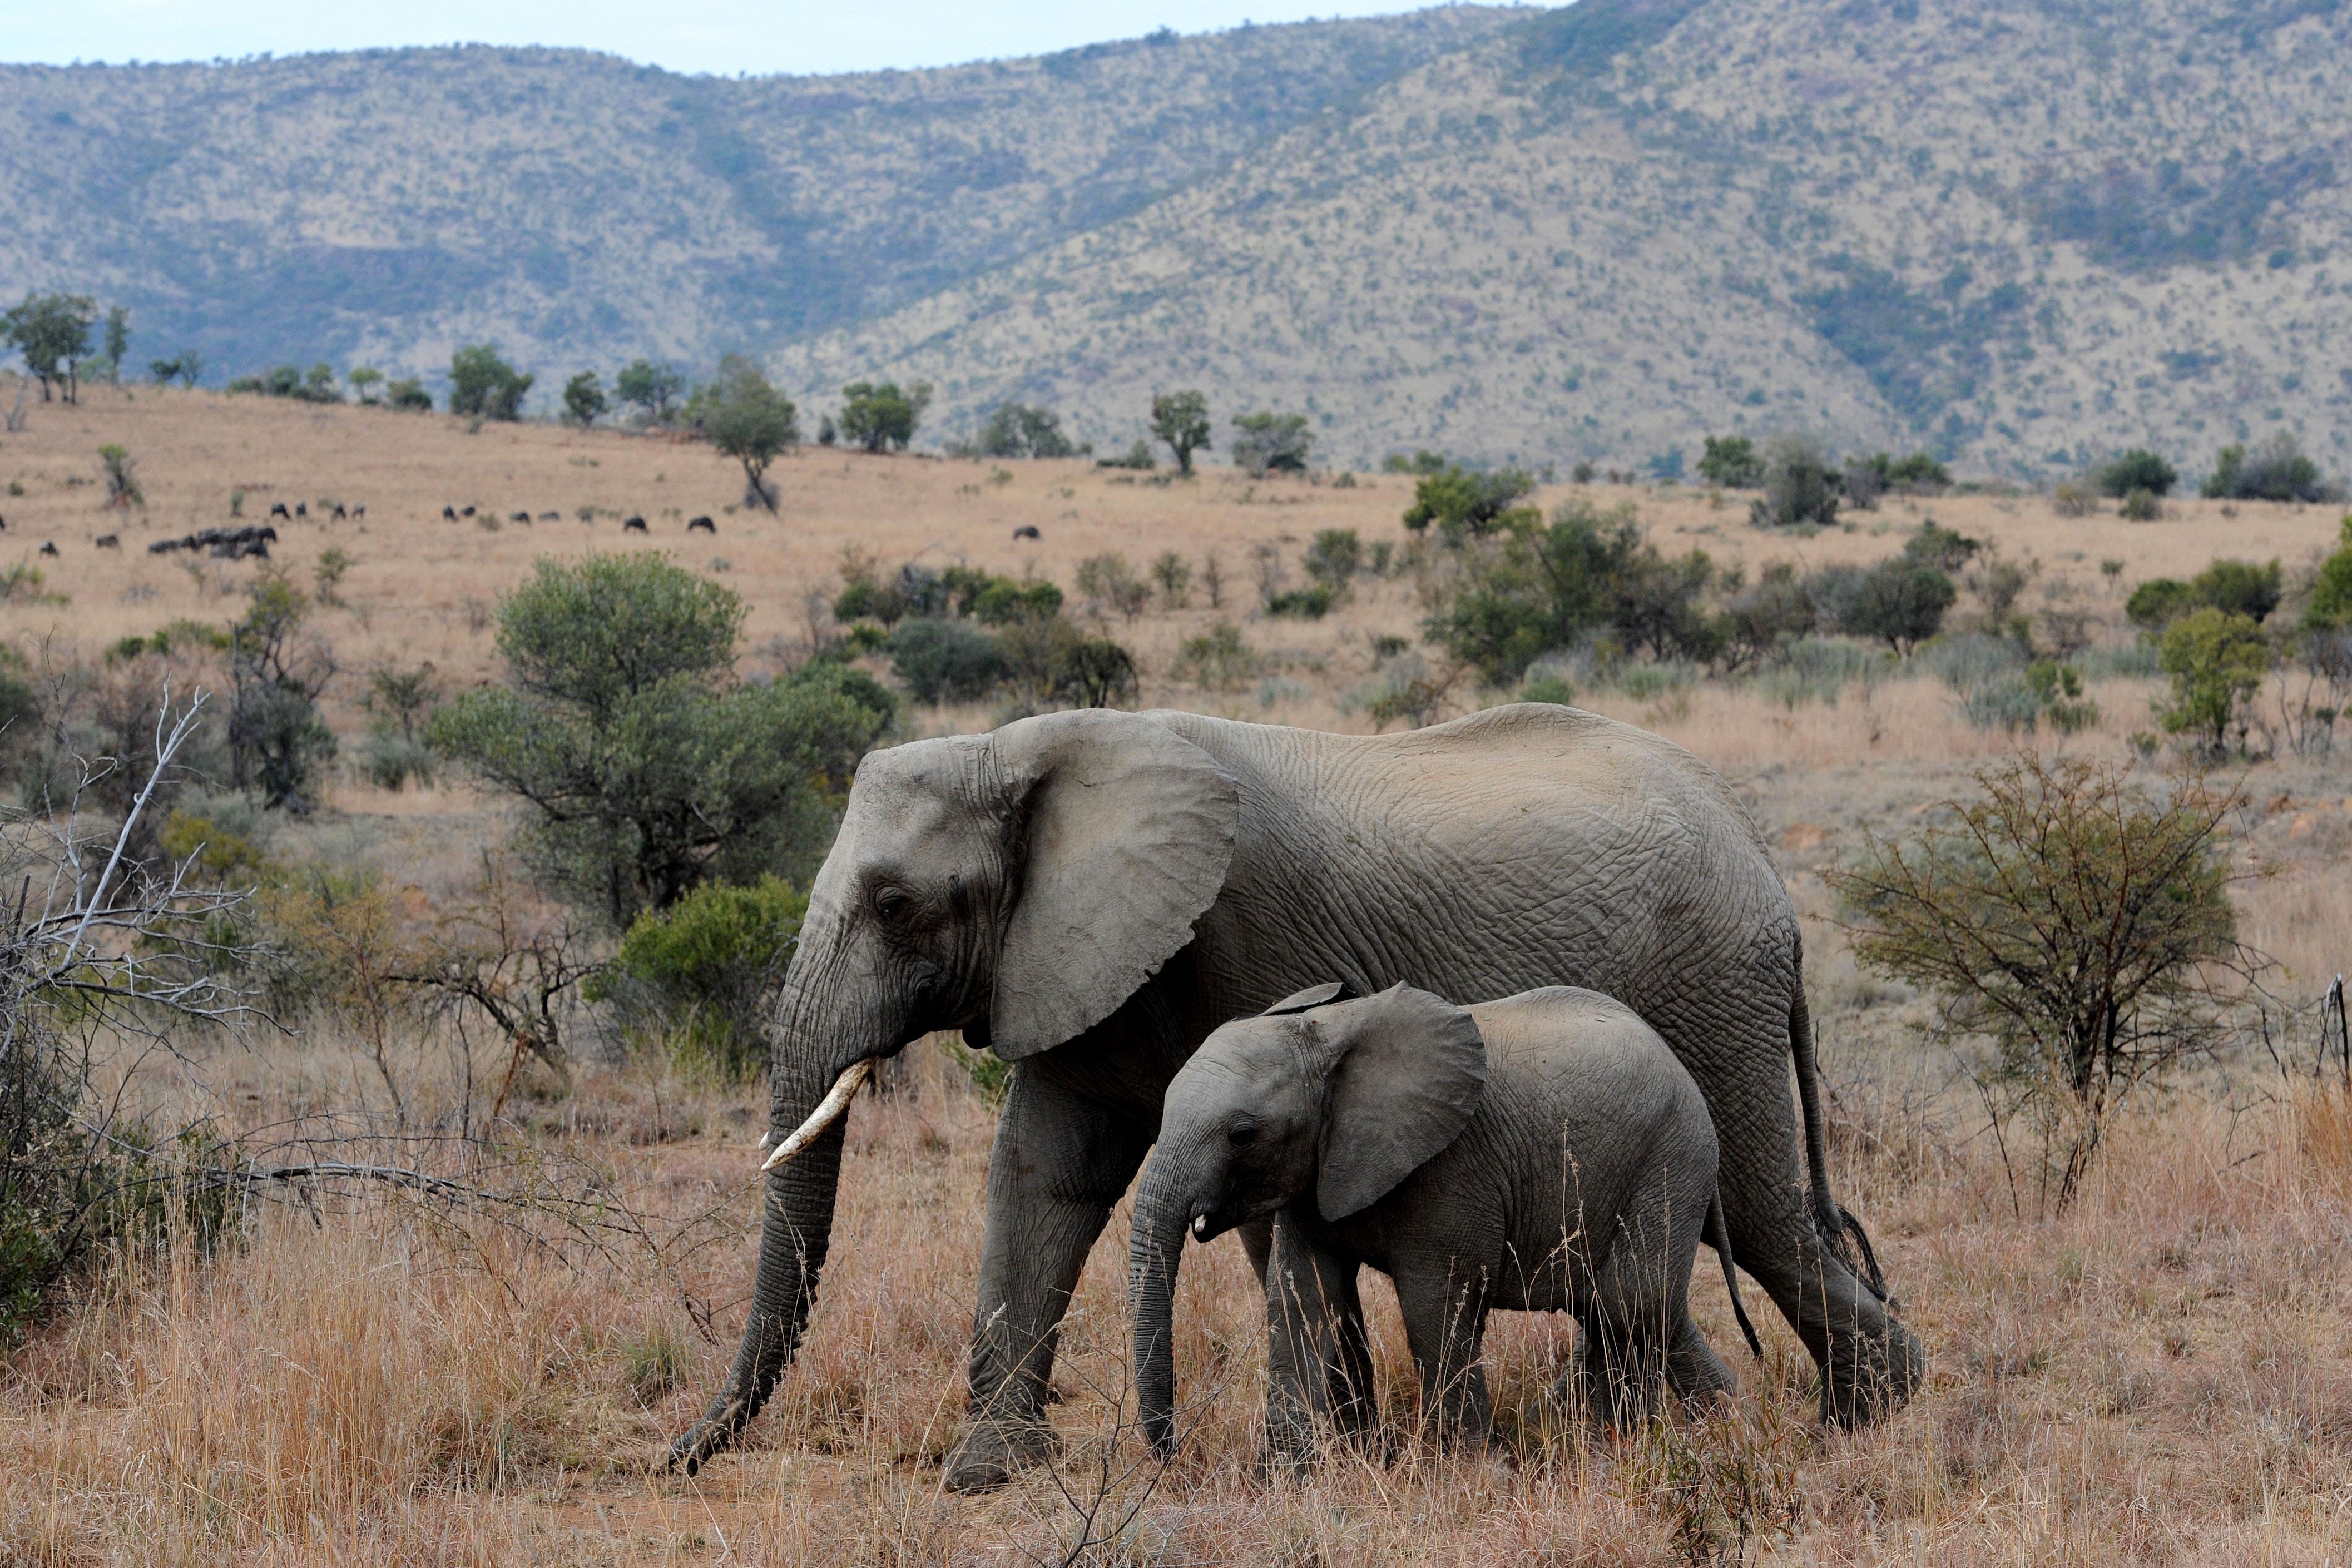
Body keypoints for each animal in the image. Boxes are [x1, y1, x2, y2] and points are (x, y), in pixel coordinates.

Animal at [1128, 983, 1759, 1457]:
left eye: (1241, 1134)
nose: (1172, 1453)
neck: (1330, 1030)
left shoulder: (1451, 1167)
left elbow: (1435, 1304)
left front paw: (1469, 1471)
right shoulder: (1313, 1176)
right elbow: (1301, 1298)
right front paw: (1285, 1480)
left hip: (1671, 1158)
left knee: (1629, 1302)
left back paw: (1617, 1447)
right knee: (1636, 1309)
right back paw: (1725, 1423)